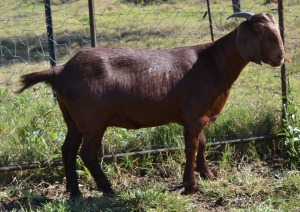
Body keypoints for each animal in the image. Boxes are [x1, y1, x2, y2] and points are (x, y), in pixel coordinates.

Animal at [17, 12, 286, 198]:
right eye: (259, 31)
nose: (280, 57)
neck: (213, 63)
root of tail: (60, 70)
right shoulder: (194, 116)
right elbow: (192, 147)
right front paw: (190, 185)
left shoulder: (197, 116)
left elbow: (202, 143)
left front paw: (208, 175)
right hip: (93, 119)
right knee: (88, 153)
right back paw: (108, 189)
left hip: (73, 118)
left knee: (68, 150)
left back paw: (75, 192)